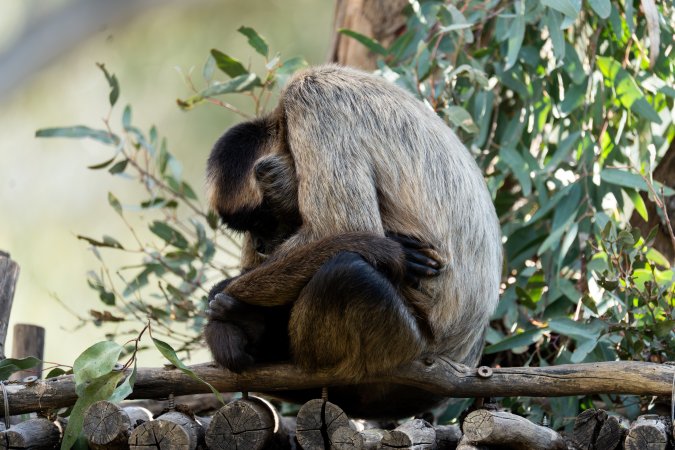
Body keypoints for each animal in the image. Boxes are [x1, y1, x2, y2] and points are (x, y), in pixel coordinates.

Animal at [203, 65, 502, 418]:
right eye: (252, 229)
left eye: (261, 221)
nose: (262, 244)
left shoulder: (313, 101)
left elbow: (342, 227)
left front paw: (221, 293)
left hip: (404, 343)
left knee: (347, 273)